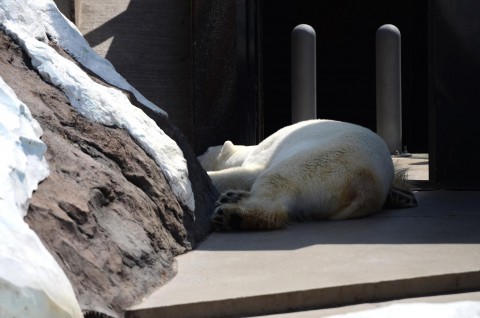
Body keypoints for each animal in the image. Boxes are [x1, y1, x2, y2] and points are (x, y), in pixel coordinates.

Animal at [199, 119, 416, 231]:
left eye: (204, 151)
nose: (199, 155)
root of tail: (367, 185)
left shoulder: (263, 155)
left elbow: (244, 174)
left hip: (323, 162)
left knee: (276, 179)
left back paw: (231, 215)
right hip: (324, 200)